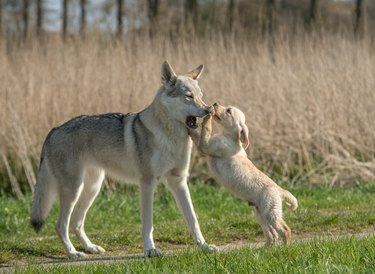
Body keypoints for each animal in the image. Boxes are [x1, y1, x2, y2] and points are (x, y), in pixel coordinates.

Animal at [191, 104, 300, 245]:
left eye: (228, 111)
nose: (215, 104)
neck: (230, 137)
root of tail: (280, 190)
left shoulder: (207, 145)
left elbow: (204, 131)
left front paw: (206, 116)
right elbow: (196, 135)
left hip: (270, 212)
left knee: (285, 231)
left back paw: (286, 248)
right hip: (260, 214)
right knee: (272, 235)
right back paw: (265, 248)